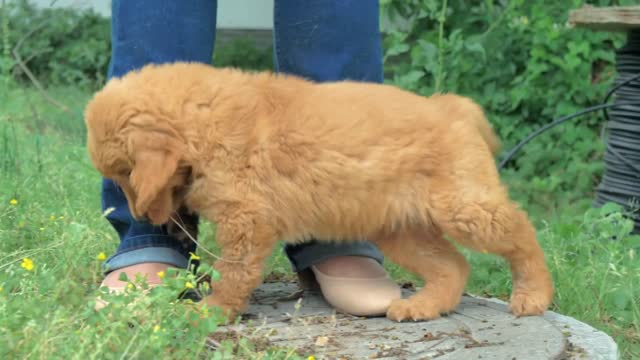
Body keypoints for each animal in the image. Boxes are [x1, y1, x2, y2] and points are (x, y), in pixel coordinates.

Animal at [86, 61, 556, 320]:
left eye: (125, 173)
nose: (142, 218)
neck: (202, 123)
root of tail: (451, 107)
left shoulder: (246, 221)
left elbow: (234, 272)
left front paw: (213, 311)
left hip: (463, 207)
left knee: (522, 231)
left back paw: (533, 294)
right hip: (402, 228)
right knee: (452, 266)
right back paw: (423, 306)